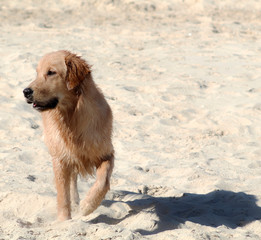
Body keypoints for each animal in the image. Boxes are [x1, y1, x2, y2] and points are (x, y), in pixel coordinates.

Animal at [23, 51, 114, 221]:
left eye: (51, 72)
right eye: (37, 72)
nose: (26, 91)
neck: (72, 117)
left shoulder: (106, 153)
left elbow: (103, 181)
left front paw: (87, 206)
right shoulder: (60, 158)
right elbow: (63, 195)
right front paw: (64, 220)